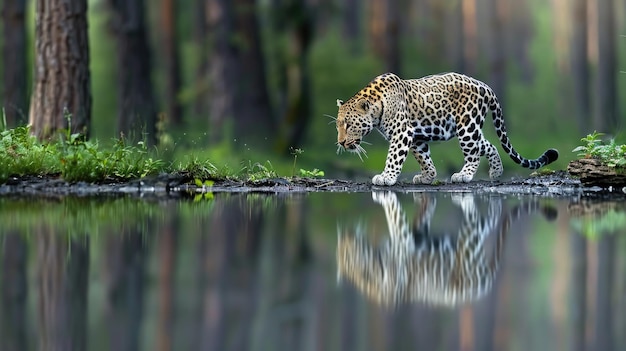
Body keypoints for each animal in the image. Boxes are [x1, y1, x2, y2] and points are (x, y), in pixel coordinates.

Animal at [334, 72, 560, 186]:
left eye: (349, 125)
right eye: (338, 126)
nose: (341, 142)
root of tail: (485, 86)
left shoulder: (402, 133)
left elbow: (394, 157)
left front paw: (386, 177)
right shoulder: (416, 137)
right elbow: (423, 158)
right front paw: (427, 176)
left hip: (466, 126)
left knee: (474, 153)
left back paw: (464, 175)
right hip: (472, 128)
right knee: (488, 145)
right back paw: (496, 172)